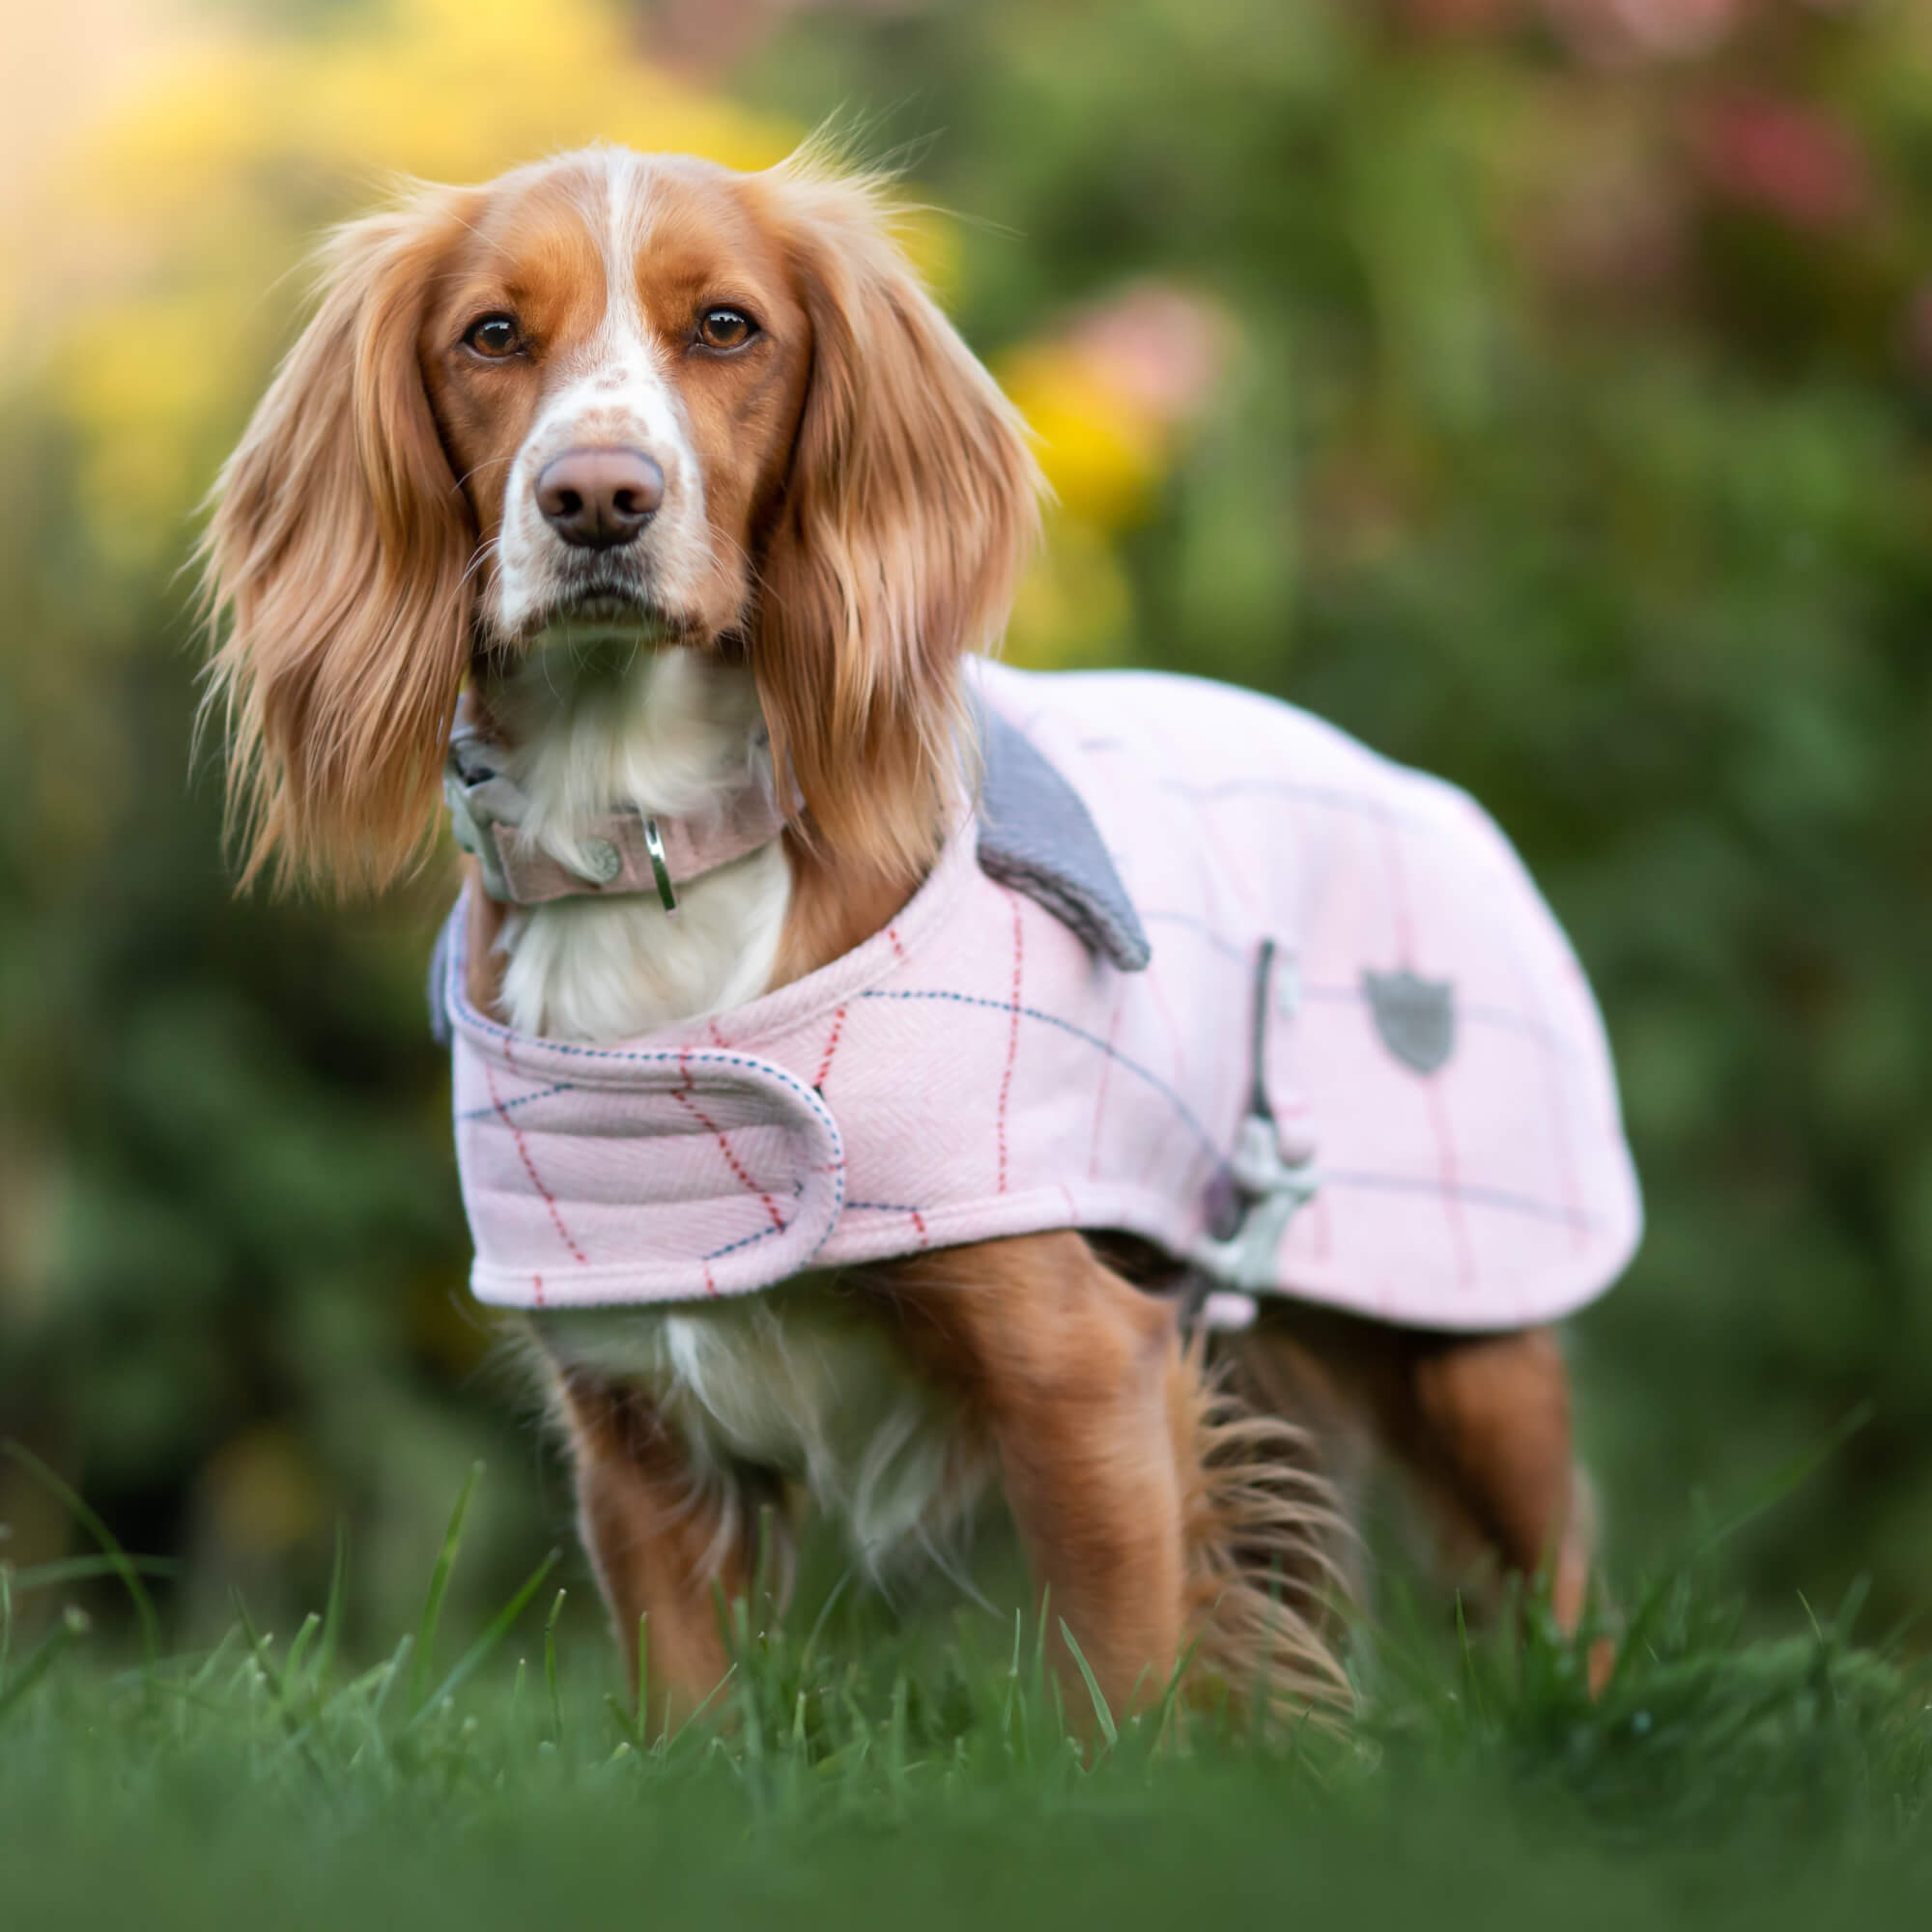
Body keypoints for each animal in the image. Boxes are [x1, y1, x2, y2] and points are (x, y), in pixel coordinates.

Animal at [200, 143, 1646, 1731]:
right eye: (492, 336)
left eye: (727, 327)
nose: (596, 498)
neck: (652, 837)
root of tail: (1421, 785)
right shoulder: (639, 1427)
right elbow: (688, 1707)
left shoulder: (1081, 1370)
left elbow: (1117, 1690)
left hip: (1471, 1356)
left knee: (1564, 1596)